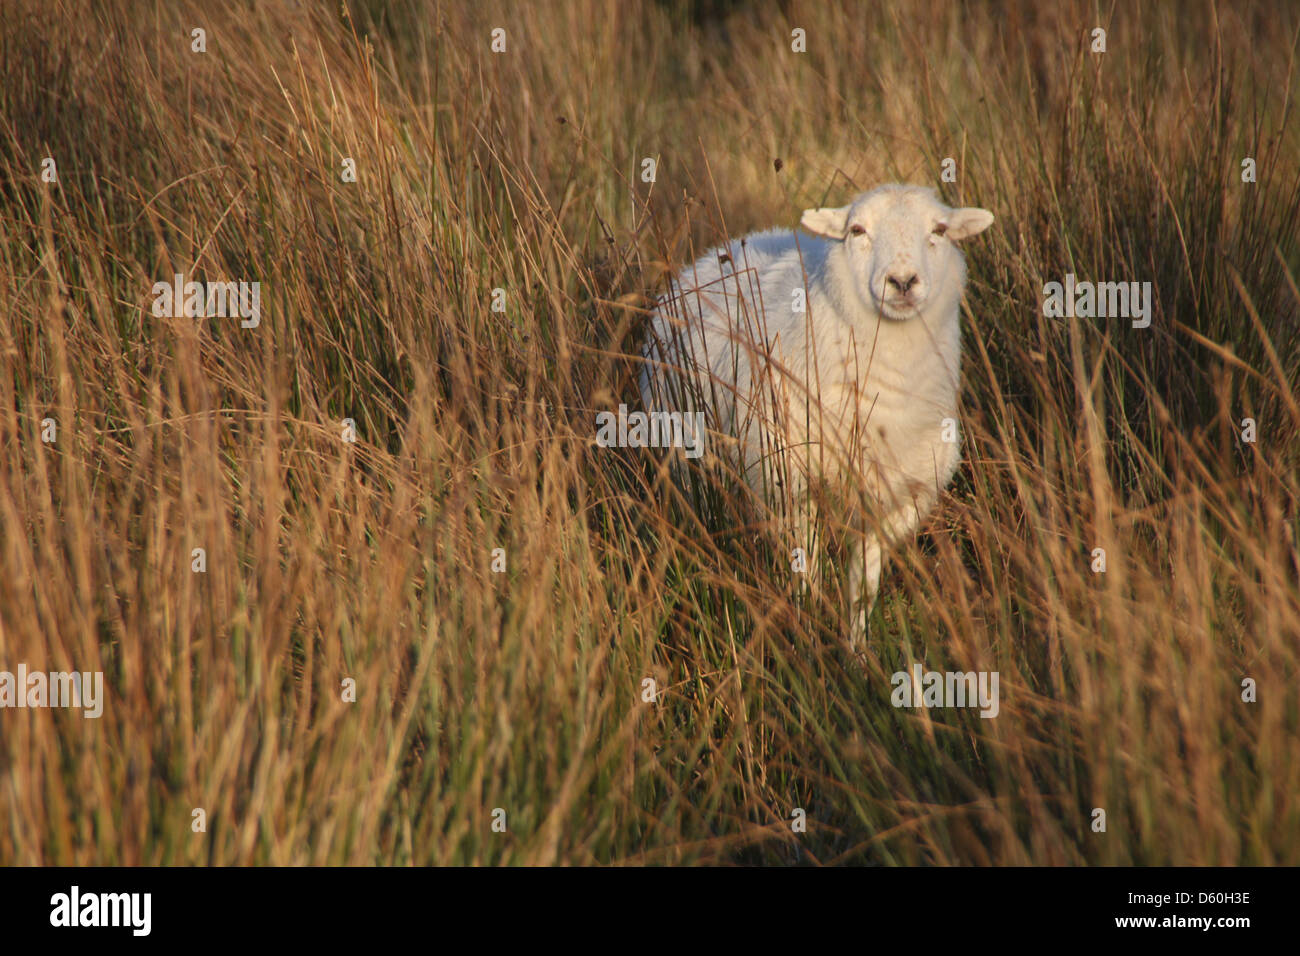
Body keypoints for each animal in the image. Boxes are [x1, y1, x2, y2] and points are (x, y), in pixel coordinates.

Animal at [639, 184, 993, 637]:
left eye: (940, 230)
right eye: (857, 230)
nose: (902, 281)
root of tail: (721, 249)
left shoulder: (895, 497)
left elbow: (863, 587)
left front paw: (856, 646)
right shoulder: (791, 483)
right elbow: (805, 570)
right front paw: (809, 627)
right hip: (686, 461)